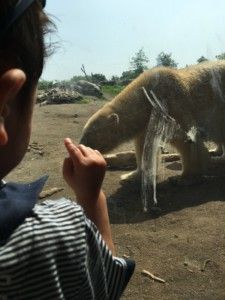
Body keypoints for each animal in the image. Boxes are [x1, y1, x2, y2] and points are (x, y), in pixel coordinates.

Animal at [80, 61, 225, 180]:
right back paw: (216, 152)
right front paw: (131, 175)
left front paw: (185, 176)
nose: (81, 145)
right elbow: (143, 147)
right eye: (84, 131)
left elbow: (185, 138)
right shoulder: (145, 124)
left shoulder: (172, 104)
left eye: (90, 134)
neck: (147, 98)